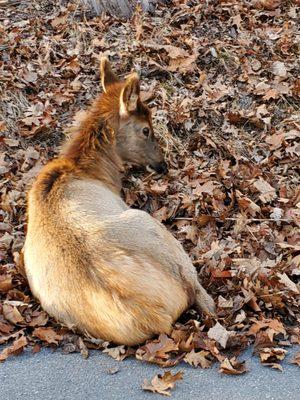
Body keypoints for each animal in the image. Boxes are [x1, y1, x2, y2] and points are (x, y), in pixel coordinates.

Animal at [23, 57, 216, 346]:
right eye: (146, 128)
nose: (162, 165)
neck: (94, 172)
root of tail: (151, 316)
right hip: (150, 226)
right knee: (205, 299)